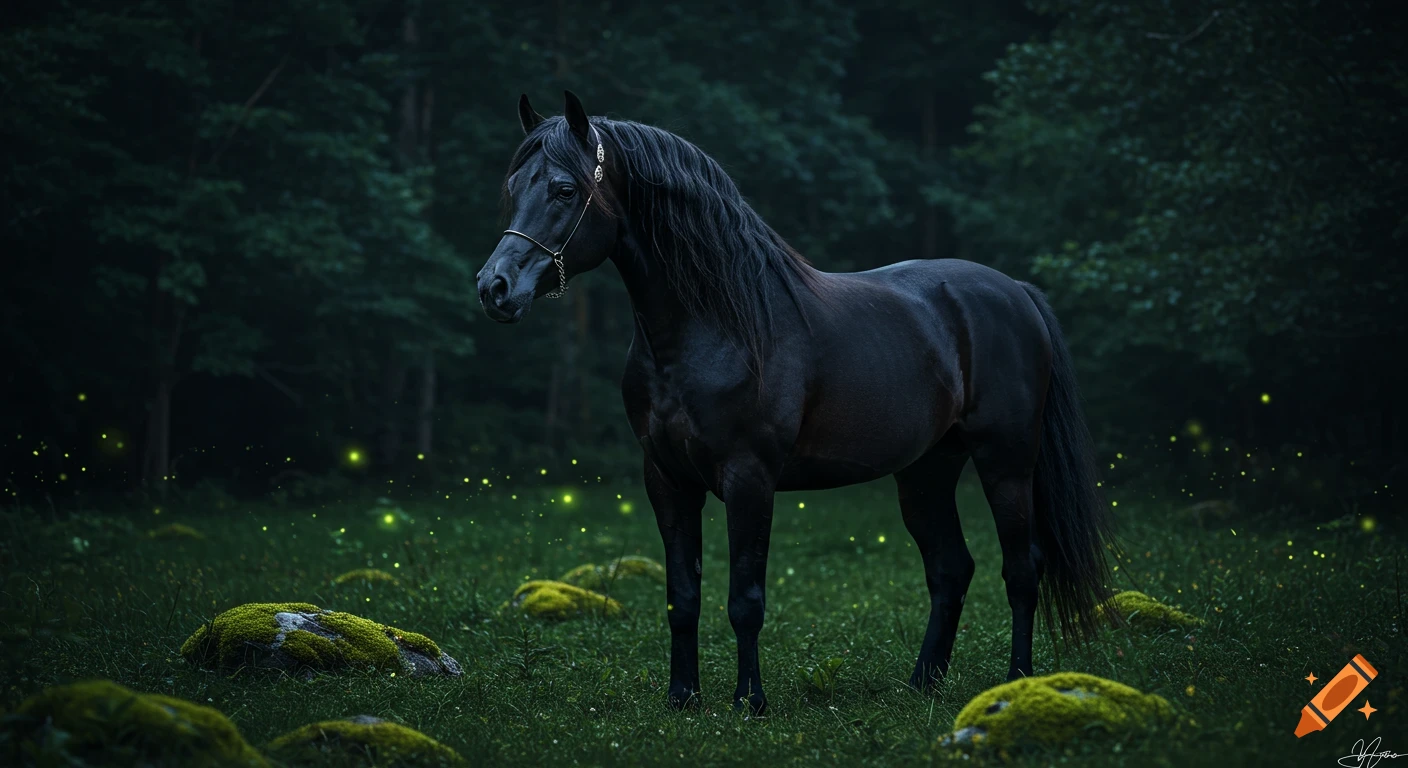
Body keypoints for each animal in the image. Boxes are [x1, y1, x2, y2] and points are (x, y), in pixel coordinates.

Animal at [476, 91, 1117, 715]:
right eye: (514, 187)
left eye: (564, 189)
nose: (494, 288)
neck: (714, 327)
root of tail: (1017, 293)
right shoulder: (666, 479)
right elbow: (682, 597)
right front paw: (682, 699)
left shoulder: (749, 478)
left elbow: (745, 598)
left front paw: (749, 702)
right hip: (927, 471)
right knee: (951, 568)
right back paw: (923, 683)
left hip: (1006, 462)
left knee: (1022, 568)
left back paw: (1018, 682)